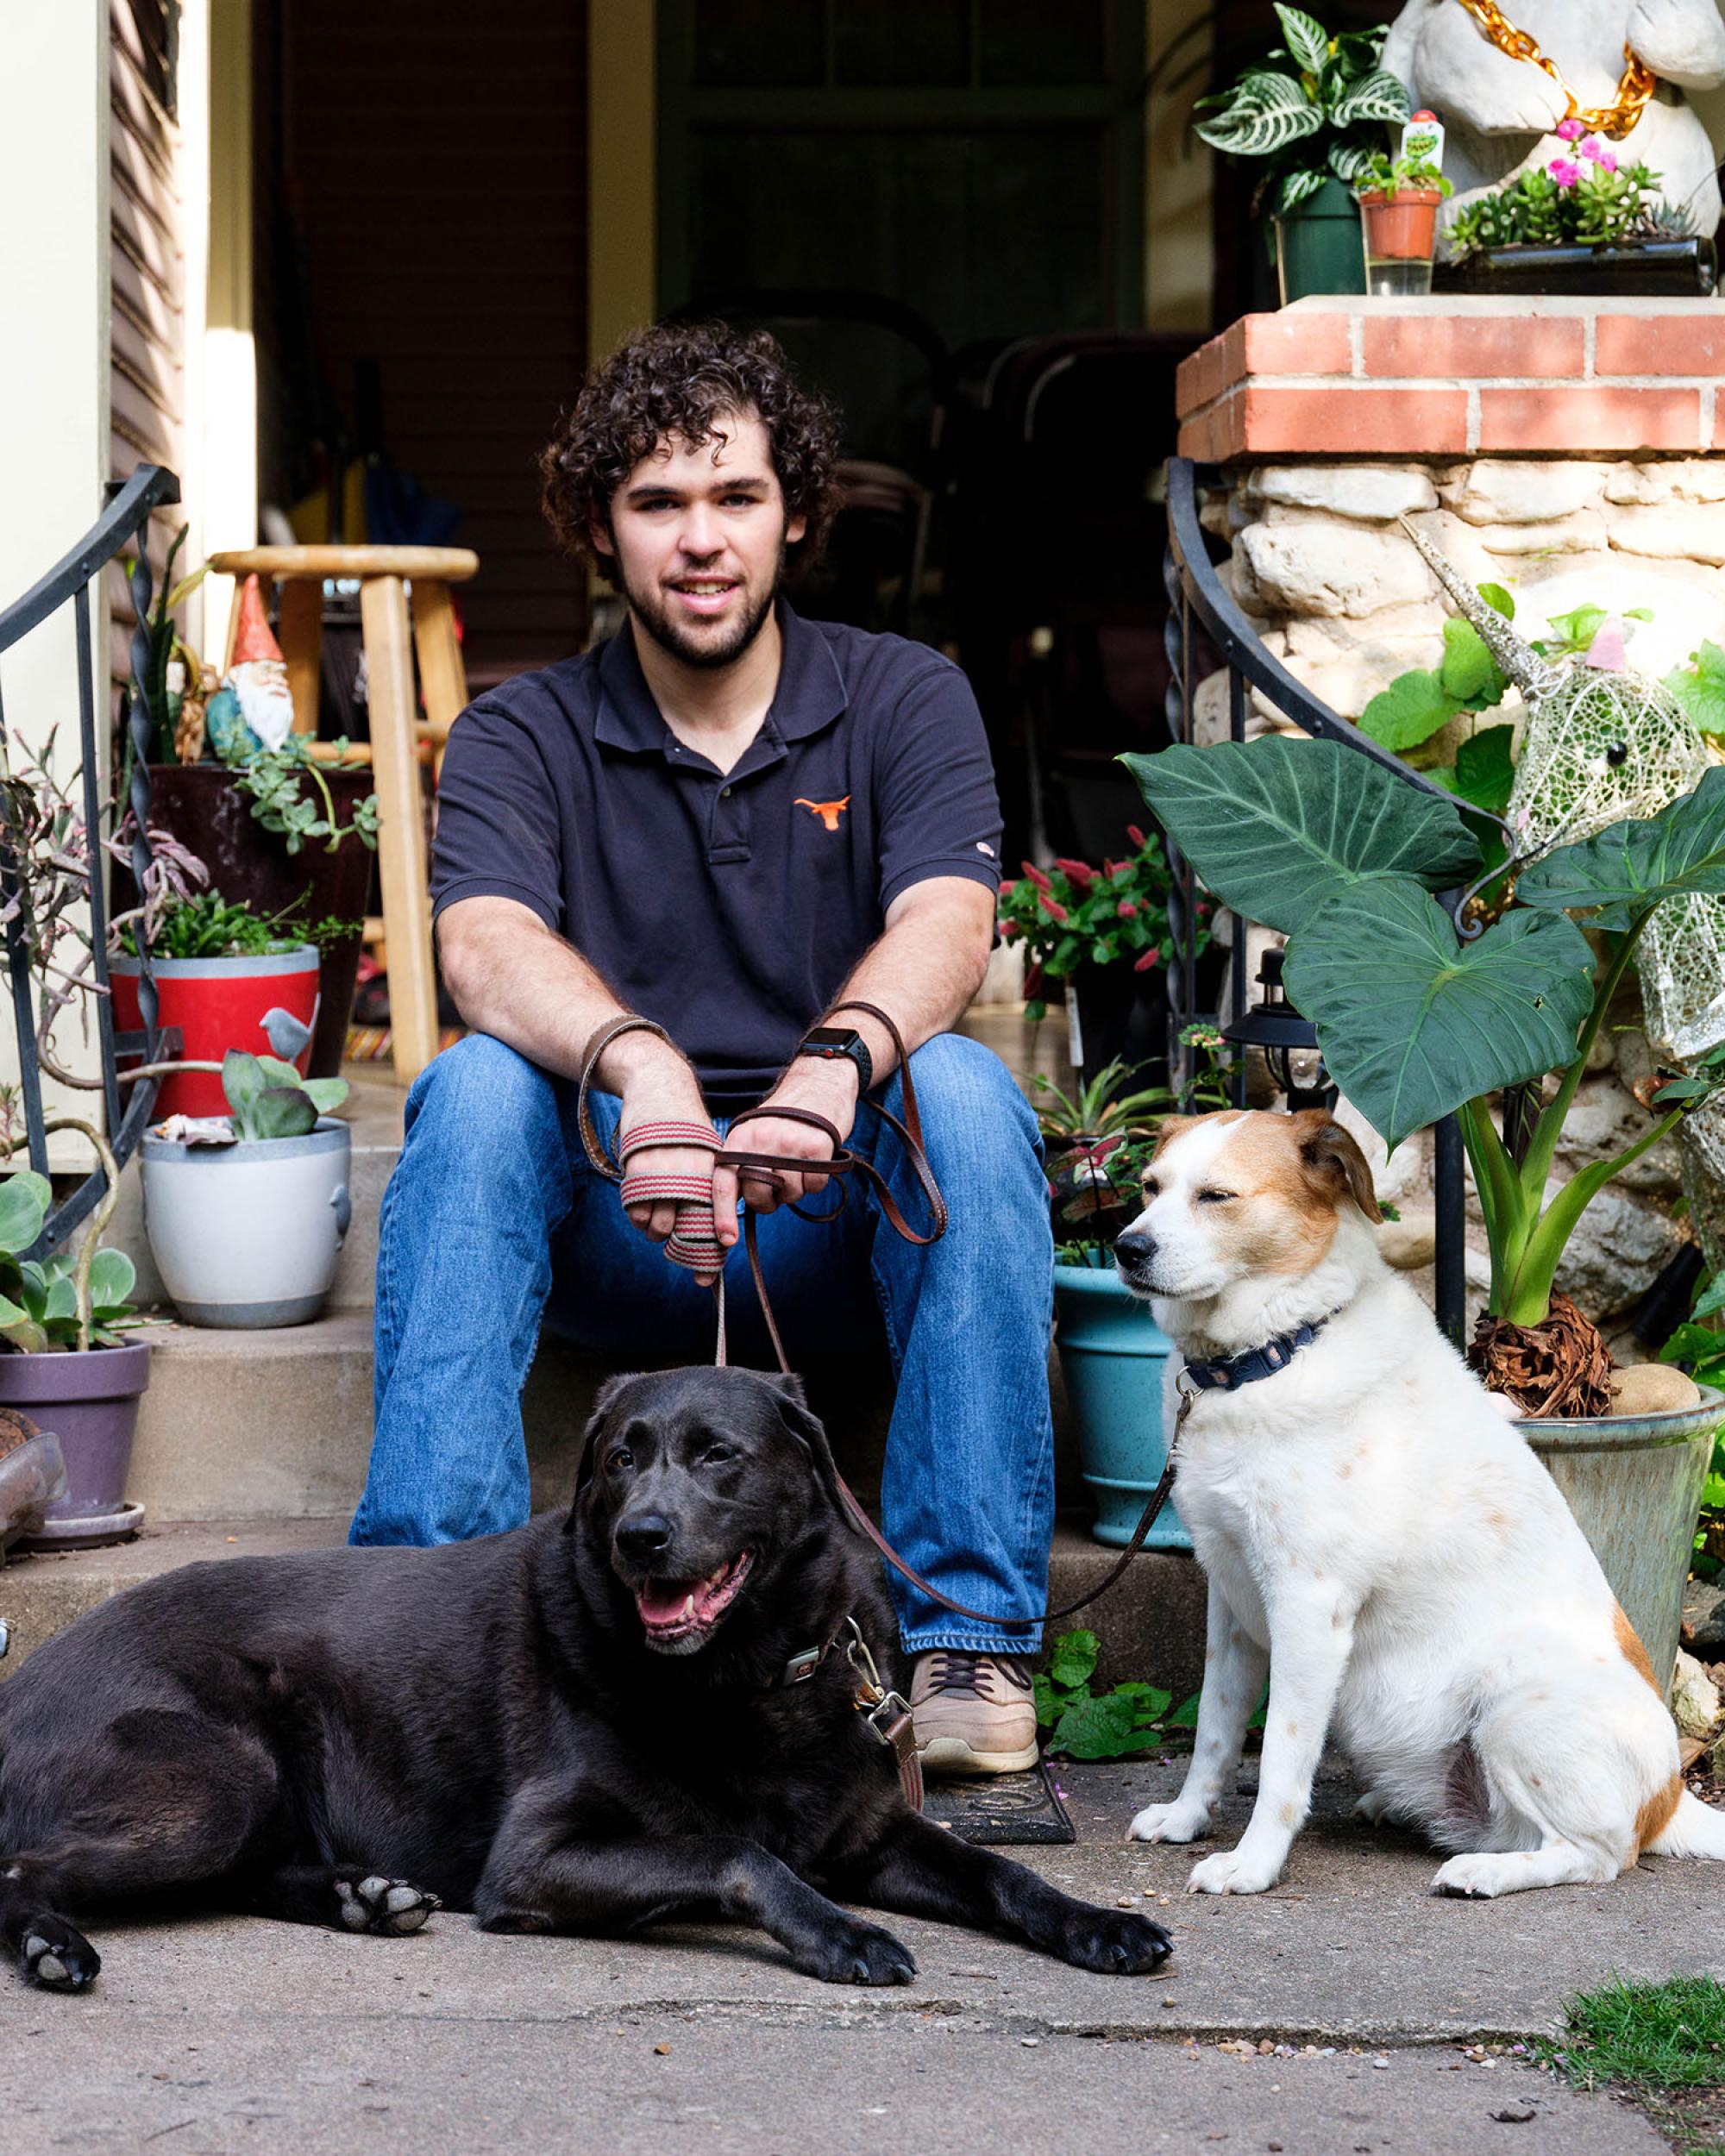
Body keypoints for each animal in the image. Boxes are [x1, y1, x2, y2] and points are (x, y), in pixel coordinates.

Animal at [0, 1371, 1173, 1992]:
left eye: (717, 1455)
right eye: (618, 1456)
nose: (639, 1536)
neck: (749, 1674)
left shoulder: (875, 1835)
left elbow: (1000, 1872)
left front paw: (1096, 1924)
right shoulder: (534, 1859)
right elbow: (735, 1850)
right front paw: (839, 1933)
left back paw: (361, 1896)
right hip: (219, 1775)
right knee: (26, 1867)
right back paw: (55, 1945)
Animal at [1113, 1112, 1716, 1906]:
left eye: (1216, 1196)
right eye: (1151, 1188)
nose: (1126, 1248)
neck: (1272, 1353)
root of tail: (1672, 1796)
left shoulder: (1308, 1607)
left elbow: (1279, 1760)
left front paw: (1253, 1864)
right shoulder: (1231, 1598)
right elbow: (1215, 1730)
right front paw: (1186, 1818)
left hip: (1516, 1697)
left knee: (1597, 1855)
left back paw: (1484, 1872)